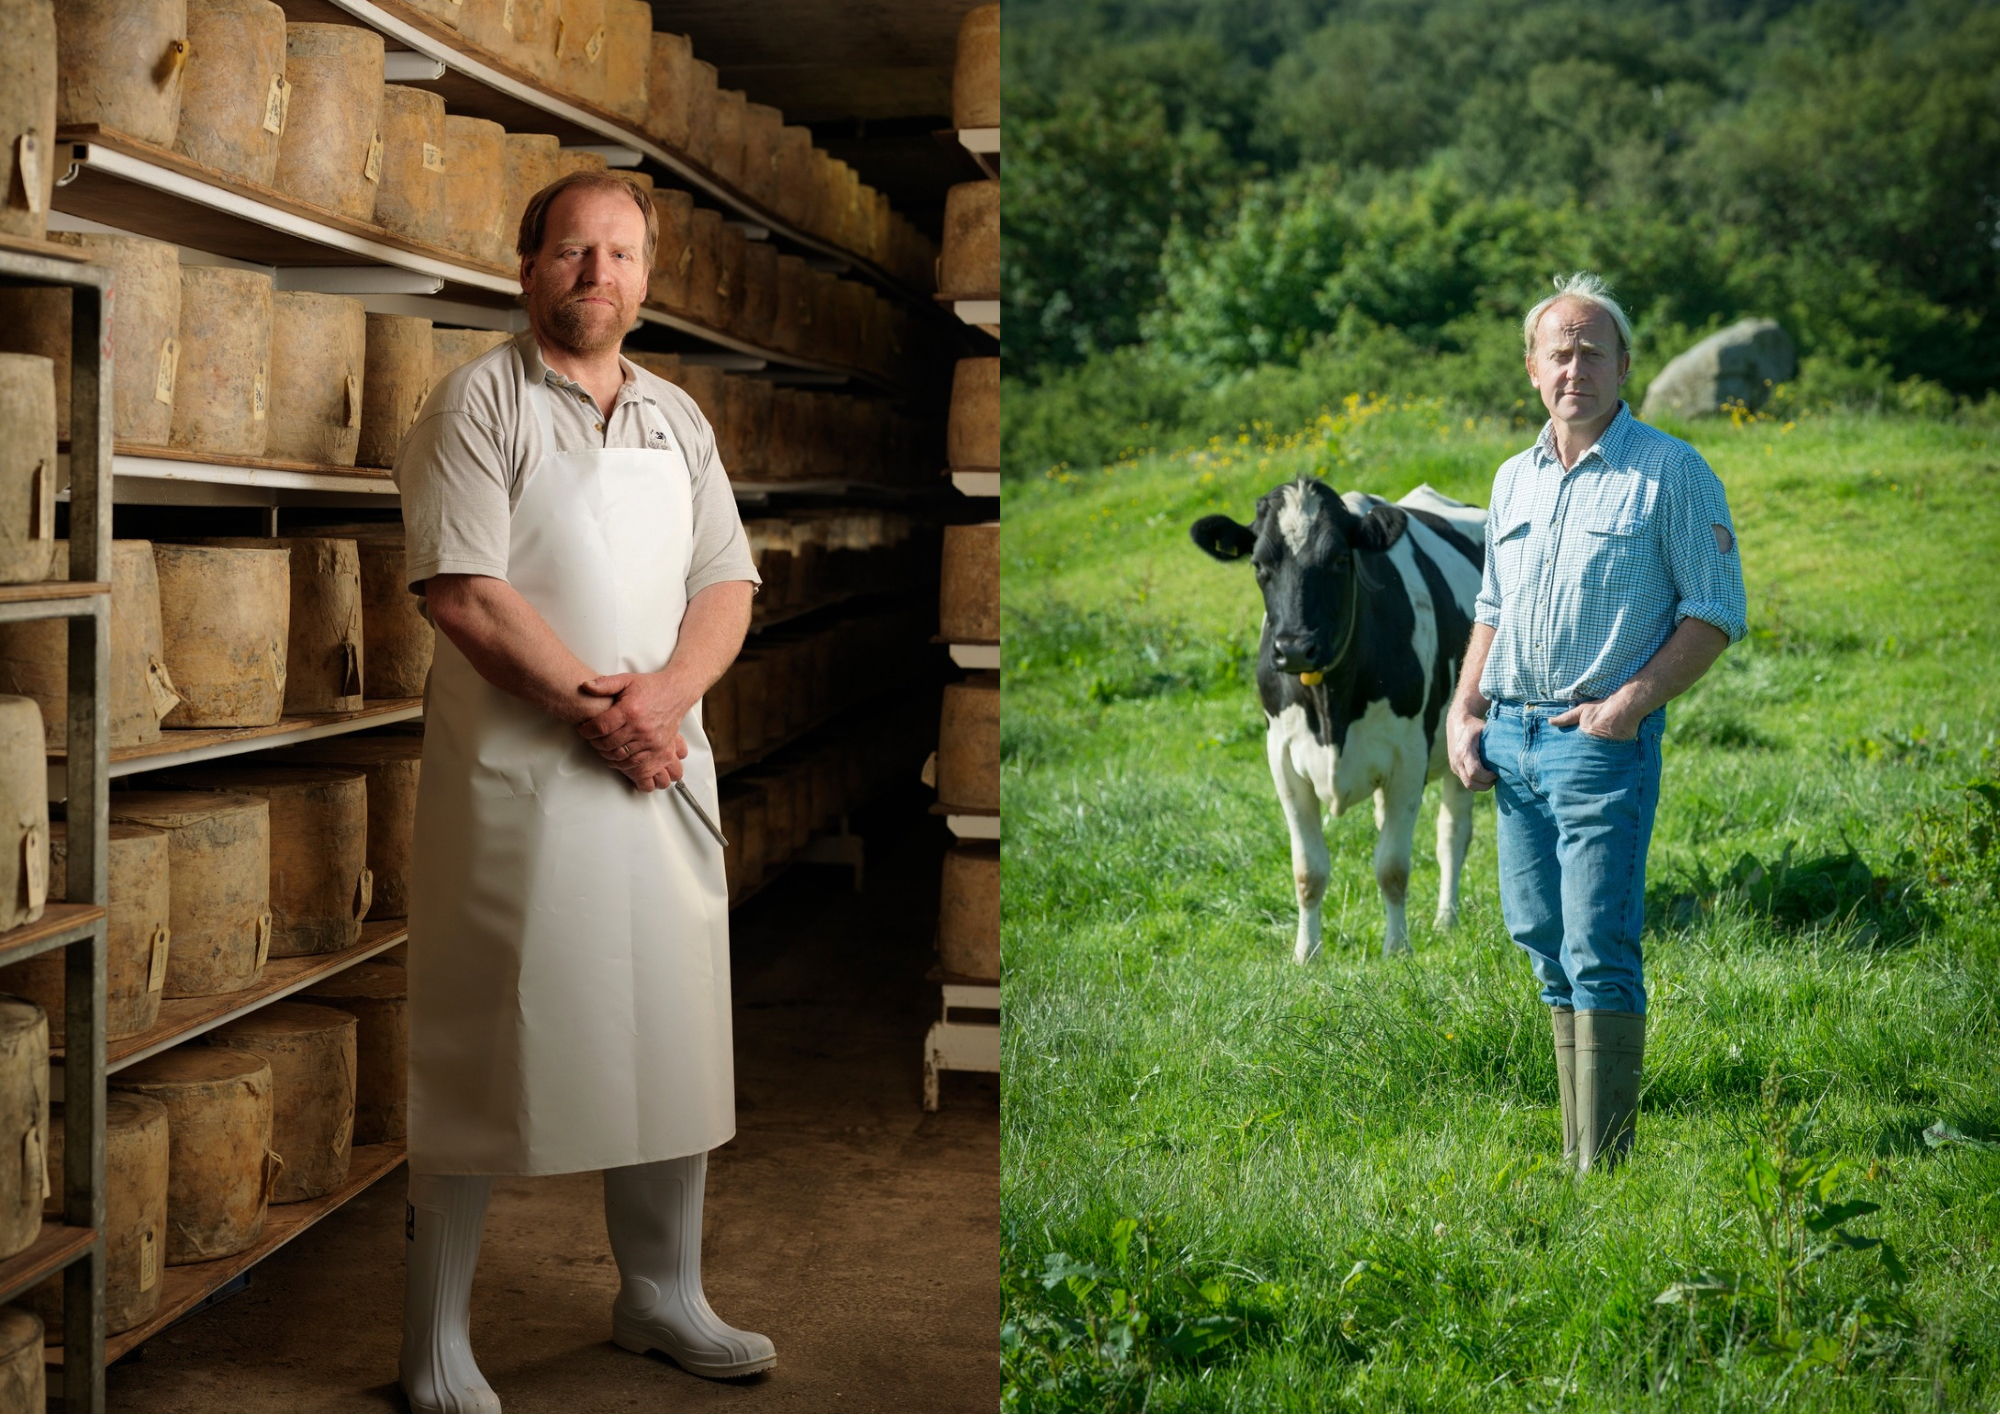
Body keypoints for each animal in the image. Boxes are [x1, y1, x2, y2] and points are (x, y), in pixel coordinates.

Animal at [1184, 481, 1488, 955]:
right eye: (1258, 565)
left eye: (1340, 560)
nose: (1293, 648)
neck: (1331, 710)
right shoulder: (1283, 761)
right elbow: (1308, 870)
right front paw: (1305, 953)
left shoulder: (1408, 759)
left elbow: (1392, 866)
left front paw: (1397, 948)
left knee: (1452, 835)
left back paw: (1445, 919)